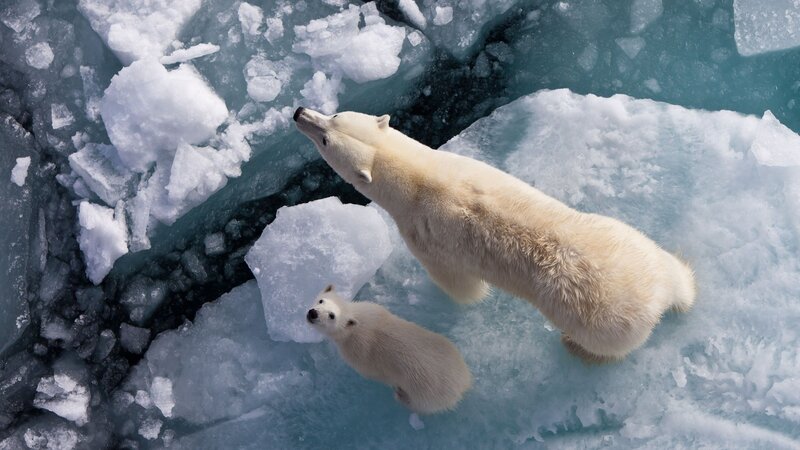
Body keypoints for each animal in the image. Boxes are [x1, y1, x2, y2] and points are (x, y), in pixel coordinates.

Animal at [294, 107, 696, 362]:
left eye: (326, 137)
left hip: (601, 321)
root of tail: (656, 298)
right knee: (673, 269)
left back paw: (574, 346)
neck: (419, 178)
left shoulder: (424, 235)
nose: (299, 112)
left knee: (605, 345)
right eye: (335, 117)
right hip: (630, 240)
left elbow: (459, 284)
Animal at [307, 285, 472, 414]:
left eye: (332, 316)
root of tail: (463, 384)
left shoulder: (357, 353)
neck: (357, 322)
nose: (313, 313)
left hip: (426, 393)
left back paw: (400, 396)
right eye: (321, 300)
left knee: (420, 405)